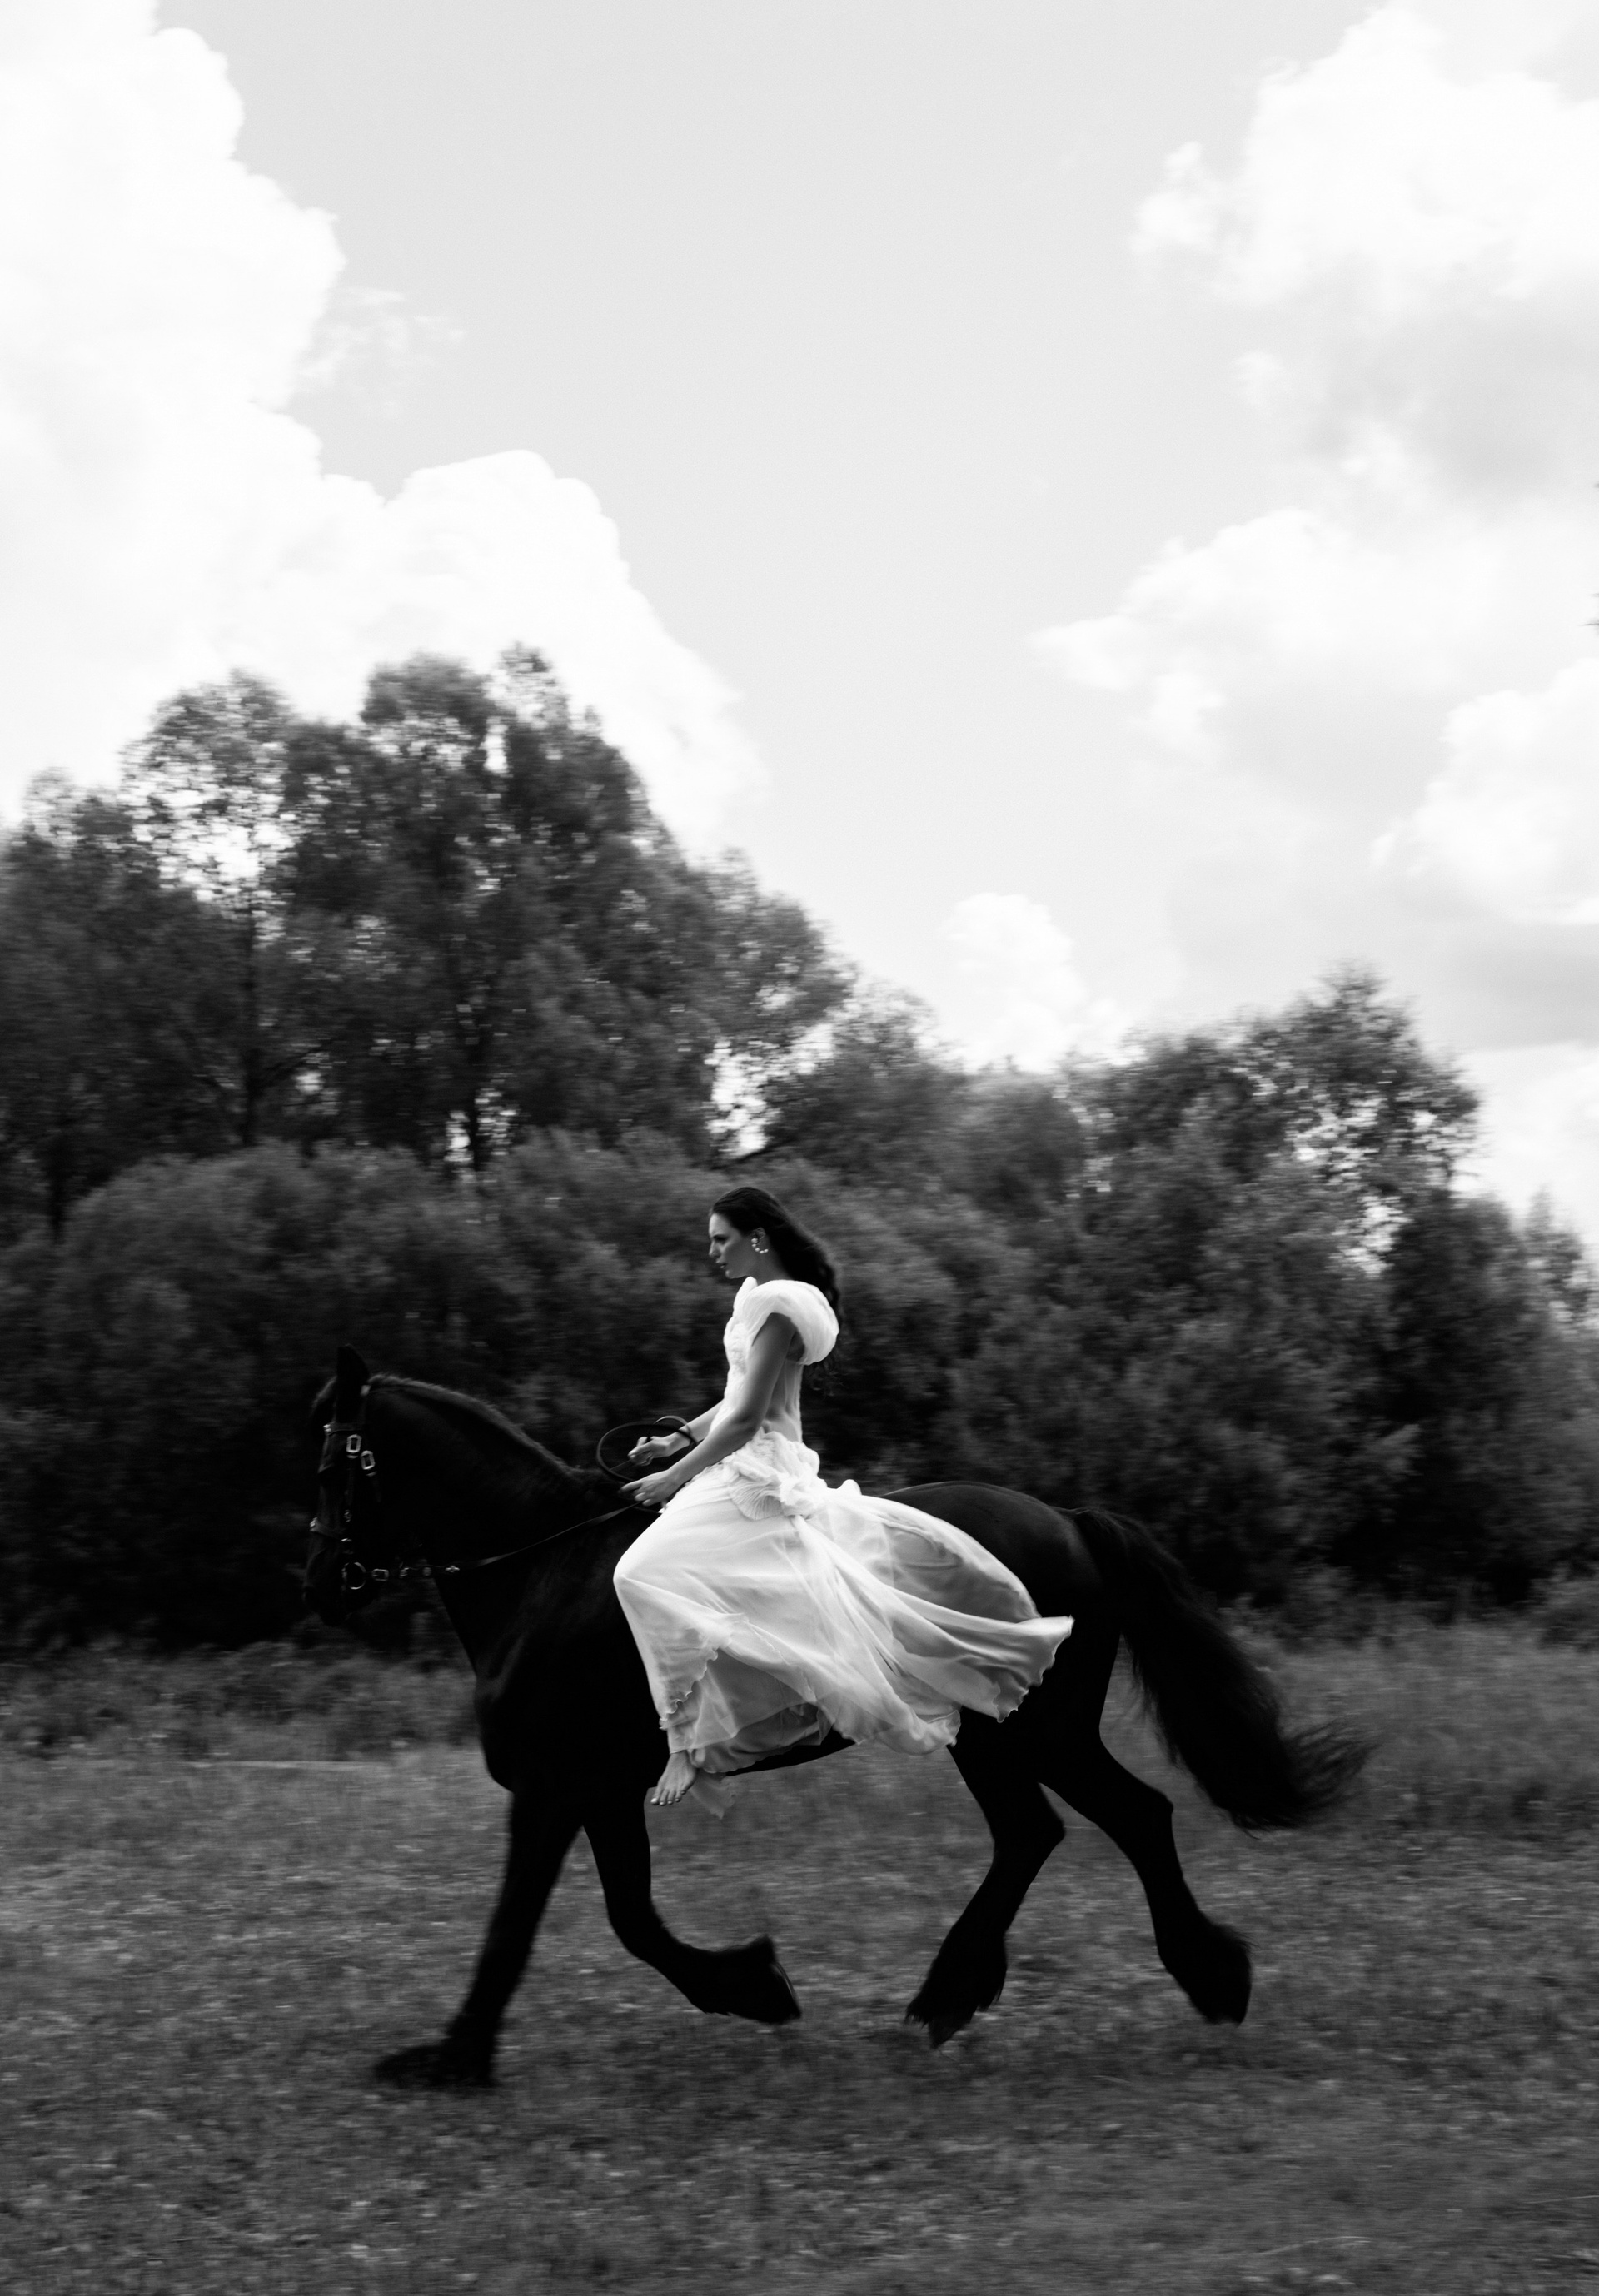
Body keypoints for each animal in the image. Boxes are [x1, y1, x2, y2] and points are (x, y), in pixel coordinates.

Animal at [303, 1345, 1363, 2087]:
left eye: (329, 1461)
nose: (319, 1584)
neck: (541, 1577)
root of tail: (1069, 1522)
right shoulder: (597, 1793)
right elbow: (631, 1918)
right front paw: (754, 1986)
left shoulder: (553, 1789)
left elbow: (528, 1926)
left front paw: (453, 2062)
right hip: (997, 1736)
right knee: (1035, 1833)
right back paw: (950, 1999)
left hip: (1034, 1728)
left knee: (1132, 1816)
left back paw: (1206, 1981)